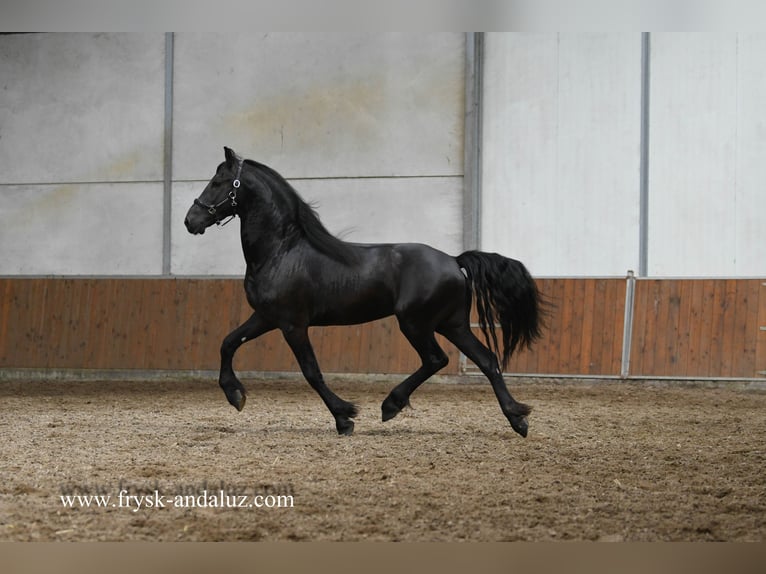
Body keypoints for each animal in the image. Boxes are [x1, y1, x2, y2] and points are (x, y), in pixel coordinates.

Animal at [184, 147, 545, 437]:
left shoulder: (292, 324)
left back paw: (391, 405)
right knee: (487, 360)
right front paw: (235, 395)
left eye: (218, 182)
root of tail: (454, 261)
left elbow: (311, 372)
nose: (191, 220)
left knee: (436, 358)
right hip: (451, 324)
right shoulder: (266, 317)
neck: (281, 251)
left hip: (415, 323)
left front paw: (345, 417)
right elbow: (228, 343)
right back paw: (517, 419)